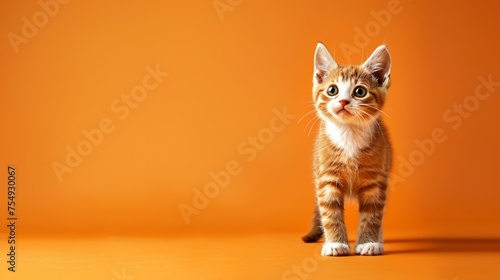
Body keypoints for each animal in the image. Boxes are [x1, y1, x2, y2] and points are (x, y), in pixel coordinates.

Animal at [302, 42, 392, 256]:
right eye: (332, 90)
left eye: (360, 91)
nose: (343, 101)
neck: (348, 134)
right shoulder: (326, 178)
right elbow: (330, 213)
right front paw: (335, 243)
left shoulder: (375, 180)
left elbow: (373, 214)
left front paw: (368, 242)